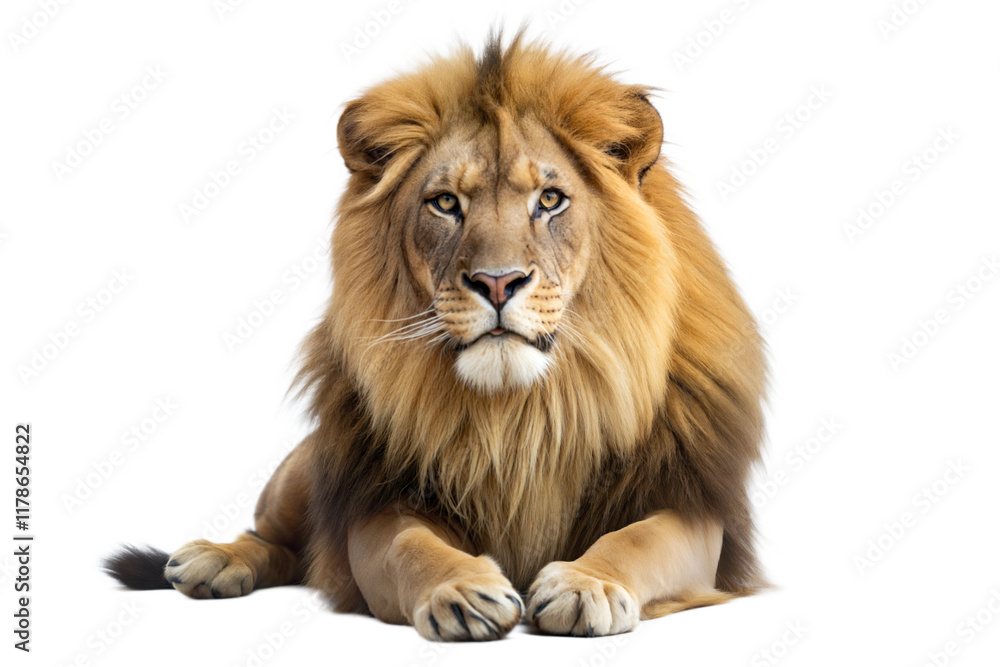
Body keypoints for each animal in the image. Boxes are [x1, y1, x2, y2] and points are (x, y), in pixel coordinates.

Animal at [105, 33, 767, 641]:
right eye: (445, 203)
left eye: (550, 200)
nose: (497, 282)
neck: (520, 416)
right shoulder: (376, 505)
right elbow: (410, 547)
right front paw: (464, 592)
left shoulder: (692, 509)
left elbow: (638, 539)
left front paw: (586, 585)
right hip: (306, 467)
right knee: (272, 538)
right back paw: (212, 561)